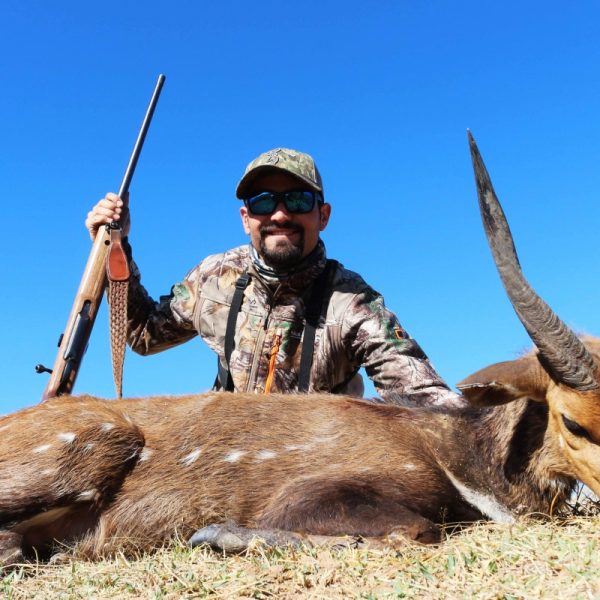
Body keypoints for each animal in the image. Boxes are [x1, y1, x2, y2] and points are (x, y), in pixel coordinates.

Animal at [1, 133, 599, 567]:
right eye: (572, 421)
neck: (457, 454)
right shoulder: (312, 495)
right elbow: (416, 531)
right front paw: (213, 534)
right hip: (95, 443)